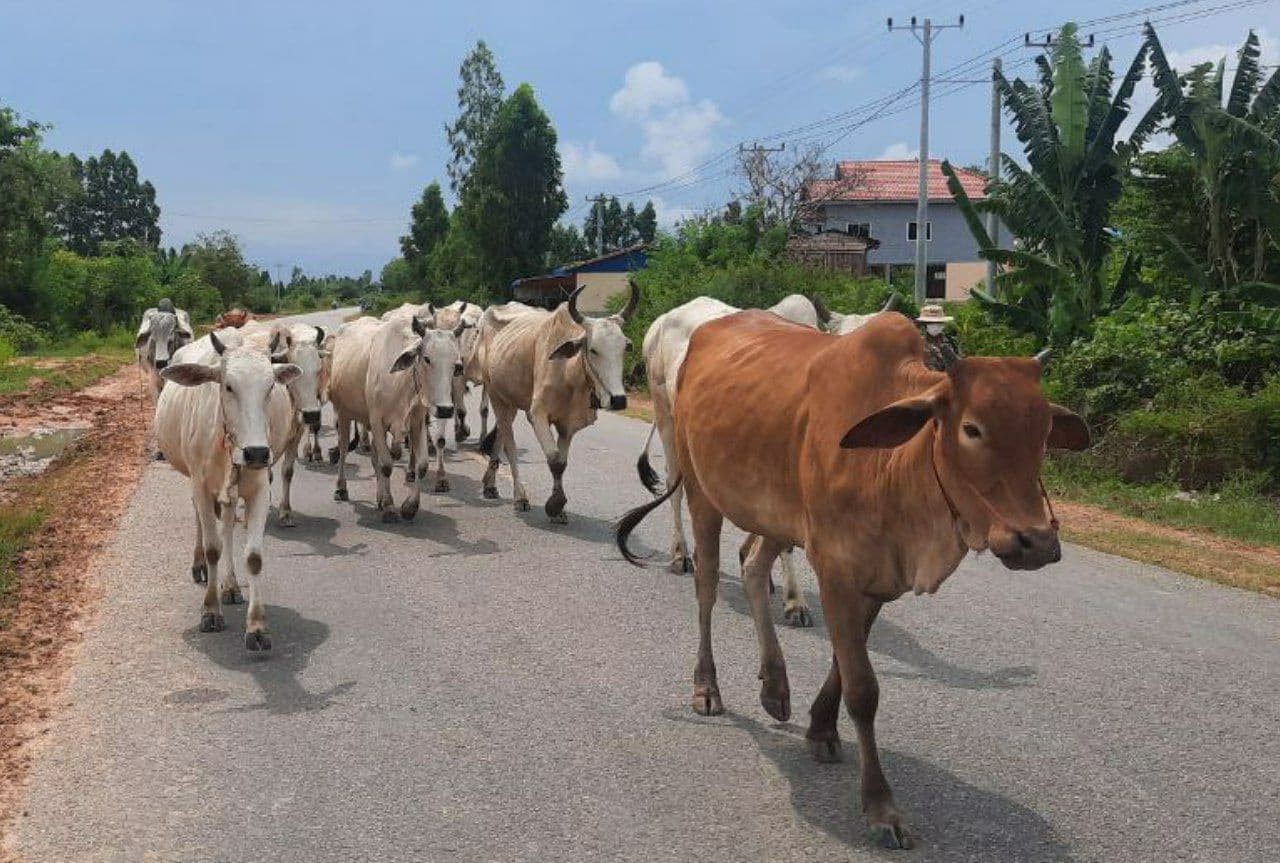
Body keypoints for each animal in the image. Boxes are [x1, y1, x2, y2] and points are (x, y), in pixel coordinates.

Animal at [156, 332, 300, 647]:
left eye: (271, 386)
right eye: (229, 386)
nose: (256, 453)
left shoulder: (260, 490)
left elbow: (254, 557)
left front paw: (256, 626)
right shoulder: (200, 486)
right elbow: (213, 549)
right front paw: (211, 611)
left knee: (230, 527)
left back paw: (231, 585)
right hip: (195, 484)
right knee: (201, 521)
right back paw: (200, 566)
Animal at [616, 307, 1090, 839]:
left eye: (1045, 432)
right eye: (972, 428)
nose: (1037, 542)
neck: (894, 466)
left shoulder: (878, 578)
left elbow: (844, 664)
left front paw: (820, 728)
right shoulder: (836, 569)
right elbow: (862, 688)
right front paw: (881, 805)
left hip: (778, 515)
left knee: (755, 567)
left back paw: (775, 686)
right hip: (702, 491)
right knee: (708, 586)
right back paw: (707, 686)